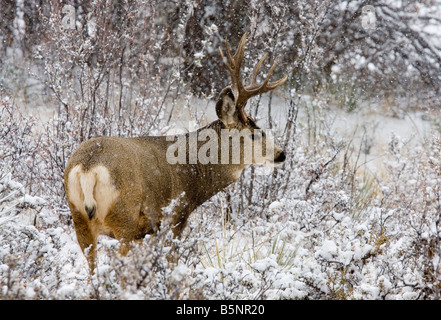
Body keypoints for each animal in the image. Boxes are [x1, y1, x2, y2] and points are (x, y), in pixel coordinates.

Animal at [63, 32, 288, 272]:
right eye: (254, 134)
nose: (281, 154)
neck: (194, 172)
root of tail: (88, 167)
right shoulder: (176, 217)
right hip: (125, 218)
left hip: (80, 218)